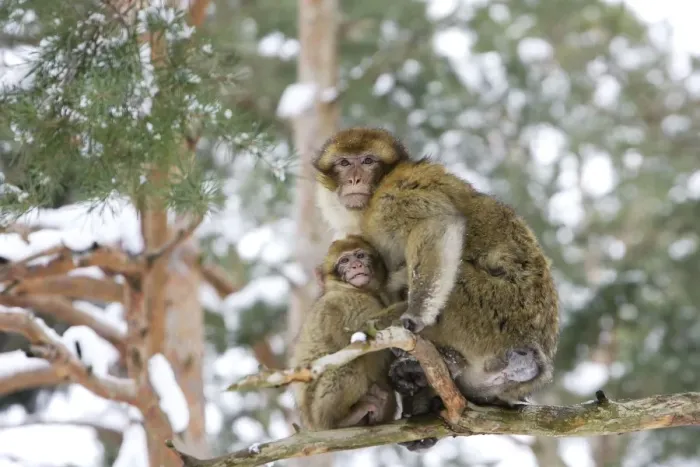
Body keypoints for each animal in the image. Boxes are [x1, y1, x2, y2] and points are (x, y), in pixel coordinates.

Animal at [290, 235, 406, 431]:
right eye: (344, 261)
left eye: (360, 255)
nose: (356, 266)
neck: (355, 290)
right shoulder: (347, 304)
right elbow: (362, 336)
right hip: (317, 411)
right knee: (348, 361)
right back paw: (340, 420)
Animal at [312, 127, 560, 413]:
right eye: (344, 163)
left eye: (367, 161)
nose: (354, 179)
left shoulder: (395, 195)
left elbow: (436, 224)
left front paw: (414, 316)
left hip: (494, 313)